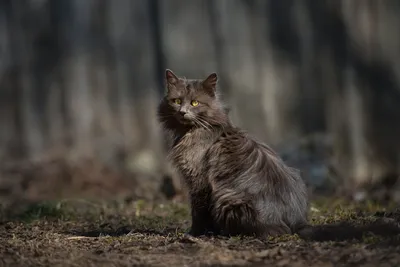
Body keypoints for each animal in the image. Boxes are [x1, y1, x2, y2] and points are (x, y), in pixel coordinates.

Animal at [158, 69, 308, 239]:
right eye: (177, 101)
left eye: (195, 103)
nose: (182, 112)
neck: (192, 131)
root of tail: (297, 222)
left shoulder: (199, 181)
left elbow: (198, 211)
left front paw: (194, 234)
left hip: (228, 199)